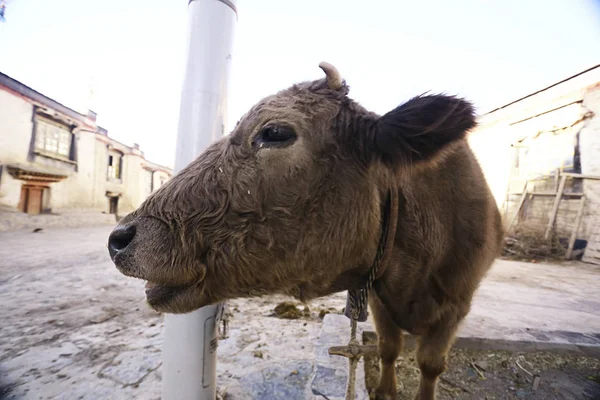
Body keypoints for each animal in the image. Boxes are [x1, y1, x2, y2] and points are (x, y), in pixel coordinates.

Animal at [109, 62, 506, 400]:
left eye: (275, 132)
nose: (120, 239)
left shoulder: (457, 304)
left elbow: (430, 363)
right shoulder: (378, 297)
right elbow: (388, 348)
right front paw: (386, 390)